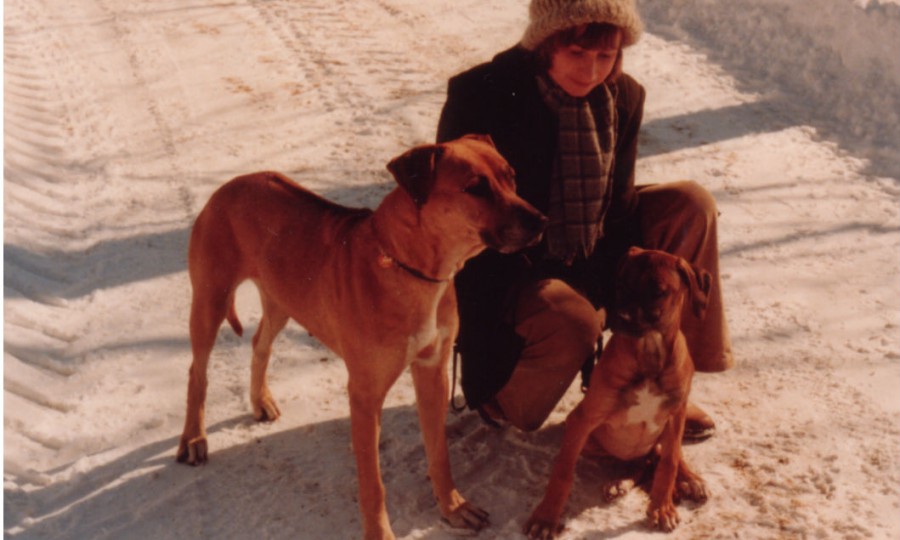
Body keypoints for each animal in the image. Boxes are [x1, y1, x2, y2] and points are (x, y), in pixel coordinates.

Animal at [175, 135, 540, 540]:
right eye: (476, 187)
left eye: (511, 176)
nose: (540, 220)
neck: (412, 269)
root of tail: (230, 184)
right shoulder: (365, 395)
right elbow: (373, 484)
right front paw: (380, 532)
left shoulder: (433, 371)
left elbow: (439, 451)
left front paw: (453, 506)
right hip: (210, 299)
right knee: (197, 372)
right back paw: (194, 438)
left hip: (282, 299)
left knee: (260, 344)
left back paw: (260, 400)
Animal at [528, 247, 712, 536]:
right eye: (621, 283)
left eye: (658, 291)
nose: (620, 318)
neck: (649, 354)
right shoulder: (582, 420)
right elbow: (562, 472)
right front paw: (546, 518)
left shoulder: (675, 416)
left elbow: (669, 463)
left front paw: (662, 507)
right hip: (592, 440)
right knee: (640, 462)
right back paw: (621, 482)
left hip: (669, 430)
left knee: (663, 456)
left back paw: (690, 479)